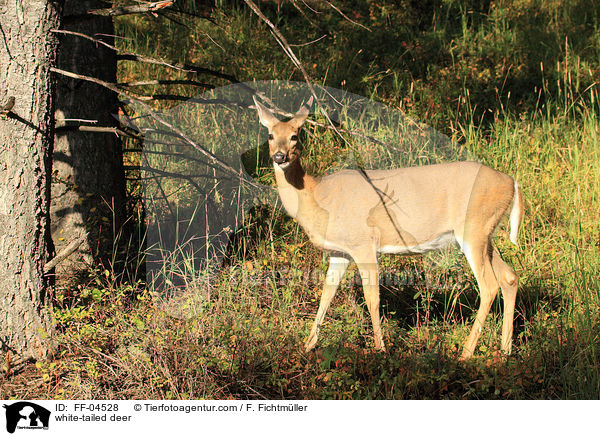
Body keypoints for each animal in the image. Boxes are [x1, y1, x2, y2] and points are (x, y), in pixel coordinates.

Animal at [255, 97, 524, 360]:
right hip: (485, 235)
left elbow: (372, 298)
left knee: (489, 285)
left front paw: (381, 351)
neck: (318, 196)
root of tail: (512, 182)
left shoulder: (364, 243)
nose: (279, 156)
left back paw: (466, 354)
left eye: (295, 135)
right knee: (509, 277)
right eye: (269, 135)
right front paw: (307, 346)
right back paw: (505, 350)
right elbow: (326, 294)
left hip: (473, 228)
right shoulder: (339, 251)